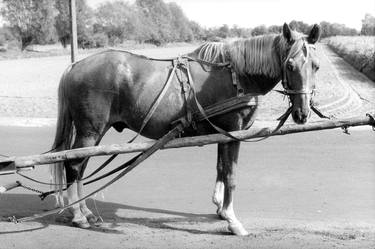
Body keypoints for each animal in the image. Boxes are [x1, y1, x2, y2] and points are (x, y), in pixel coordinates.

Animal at [49, 23, 320, 235]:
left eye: (316, 66)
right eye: (290, 65)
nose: (302, 113)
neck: (237, 75)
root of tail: (74, 66)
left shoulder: (222, 133)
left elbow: (220, 169)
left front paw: (221, 209)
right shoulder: (233, 133)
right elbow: (231, 175)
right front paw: (233, 221)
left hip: (93, 134)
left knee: (80, 166)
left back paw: (84, 210)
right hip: (90, 131)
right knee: (73, 165)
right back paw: (78, 215)